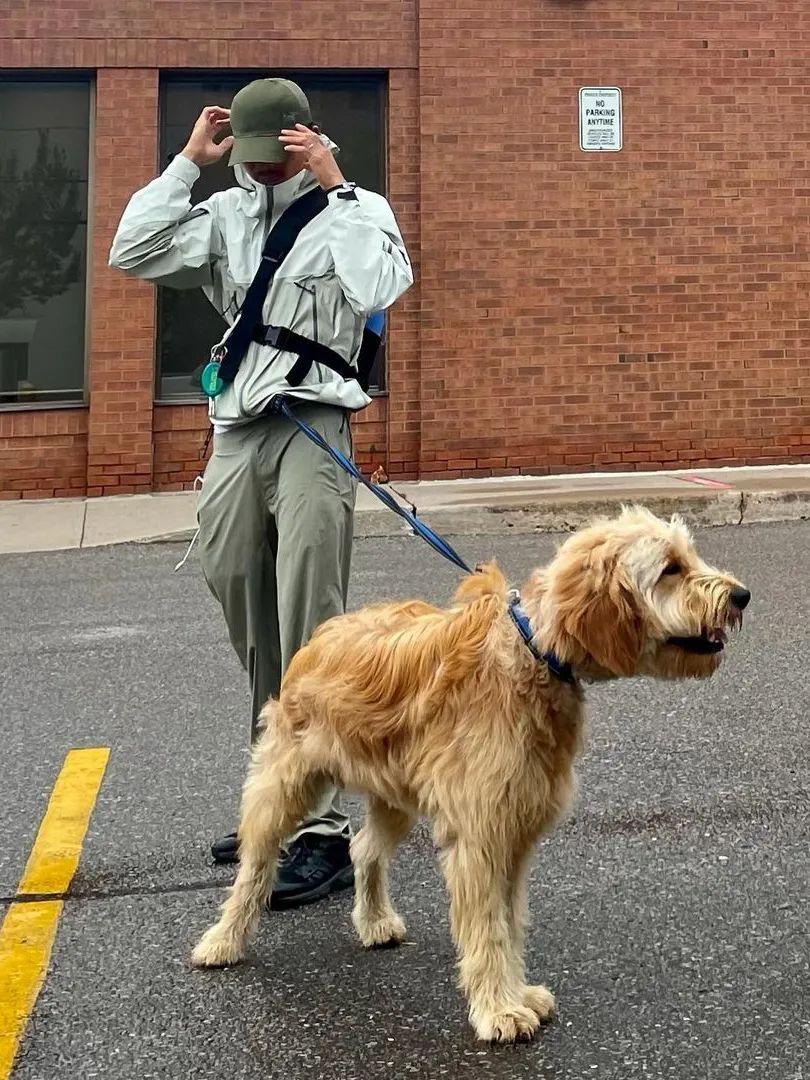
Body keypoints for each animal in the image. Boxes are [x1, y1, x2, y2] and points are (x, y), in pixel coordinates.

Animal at [193, 509, 751, 1041]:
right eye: (671, 568)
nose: (741, 595)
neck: (533, 654)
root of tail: (323, 633)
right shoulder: (482, 836)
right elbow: (488, 928)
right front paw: (499, 1010)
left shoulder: (516, 833)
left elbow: (510, 922)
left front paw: (517, 994)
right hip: (282, 782)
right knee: (255, 867)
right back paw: (222, 940)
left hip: (393, 793)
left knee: (364, 849)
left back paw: (374, 921)